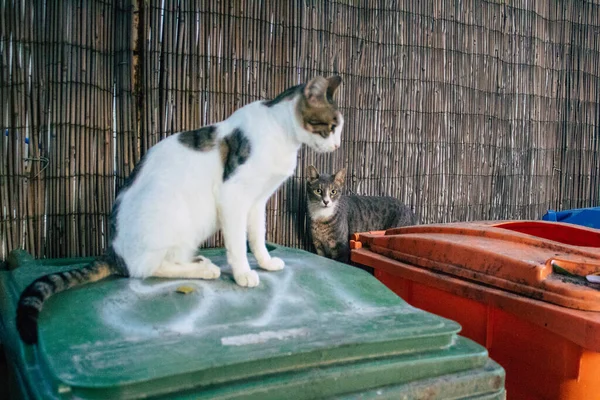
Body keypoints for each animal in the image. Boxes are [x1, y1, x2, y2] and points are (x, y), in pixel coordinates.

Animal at [16, 75, 344, 344]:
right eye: (331, 127)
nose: (338, 146)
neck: (281, 132)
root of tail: (113, 251)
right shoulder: (234, 195)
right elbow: (238, 243)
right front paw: (243, 274)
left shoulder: (257, 201)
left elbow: (257, 236)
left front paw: (264, 262)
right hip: (174, 213)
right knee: (144, 269)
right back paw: (204, 269)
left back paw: (197, 260)